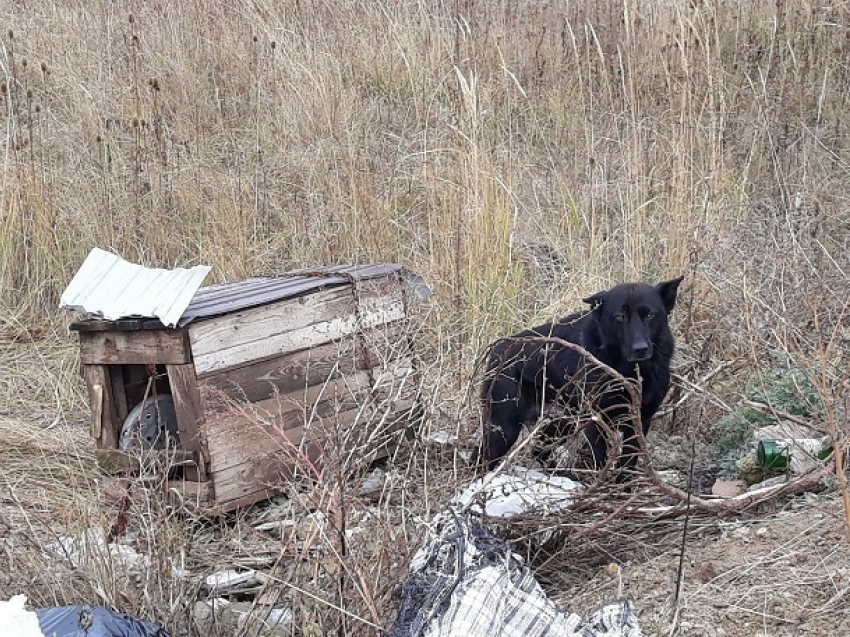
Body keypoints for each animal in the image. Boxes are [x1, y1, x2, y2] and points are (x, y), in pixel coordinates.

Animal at [476, 276, 684, 474]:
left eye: (650, 314)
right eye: (620, 316)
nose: (640, 349)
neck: (628, 370)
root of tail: (499, 349)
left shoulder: (640, 421)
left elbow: (627, 466)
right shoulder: (596, 423)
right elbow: (600, 462)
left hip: (563, 422)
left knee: (539, 449)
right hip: (504, 429)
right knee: (480, 461)